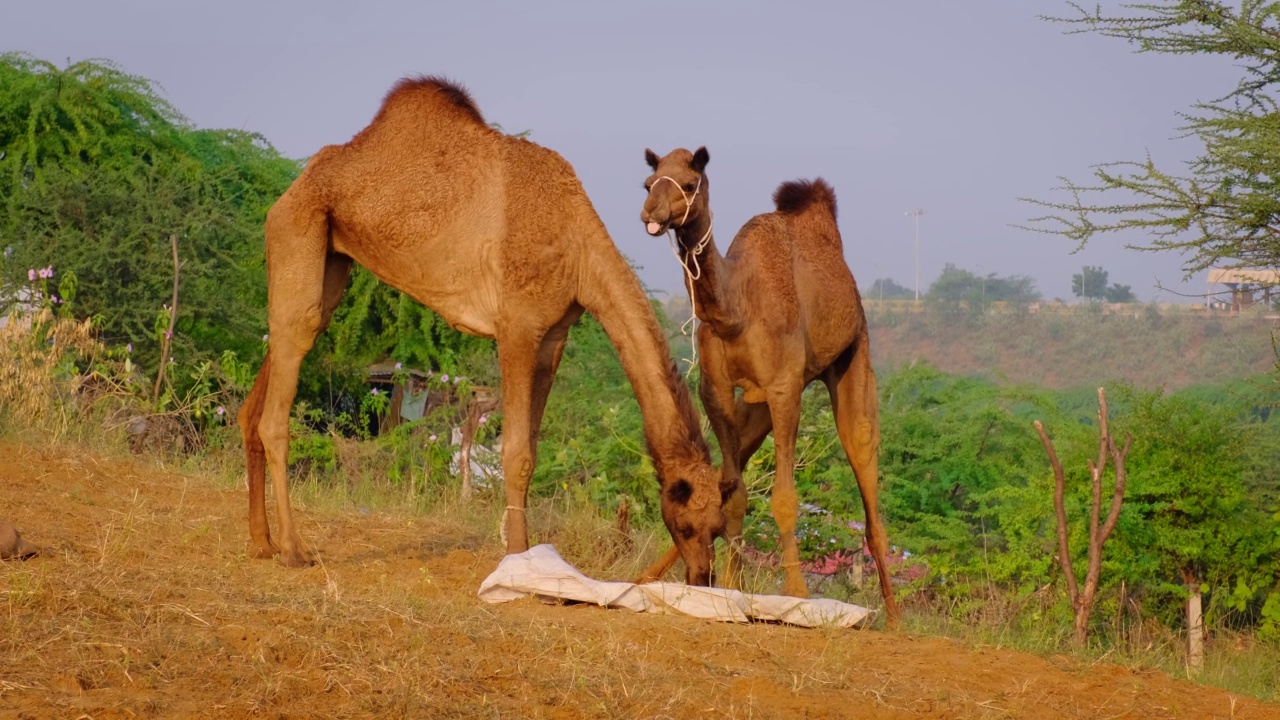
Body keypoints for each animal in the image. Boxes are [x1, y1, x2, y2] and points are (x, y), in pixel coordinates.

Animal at [235, 77, 727, 584]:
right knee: (280, 398)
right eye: (688, 524)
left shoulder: (553, 337)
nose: (702, 575)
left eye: (720, 526)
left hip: (330, 260)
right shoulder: (517, 327)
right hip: (299, 227)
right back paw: (293, 549)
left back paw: (261, 542)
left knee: (271, 375)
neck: (578, 253)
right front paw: (516, 559)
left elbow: (531, 449)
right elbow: (516, 453)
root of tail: (294, 188)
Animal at [637, 144, 901, 622]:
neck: (737, 311)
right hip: (755, 406)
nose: (652, 212)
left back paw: (894, 616)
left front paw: (797, 593)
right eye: (648, 183)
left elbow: (783, 498)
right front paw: (731, 587)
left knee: (866, 472)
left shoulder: (784, 388)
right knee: (731, 473)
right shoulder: (717, 391)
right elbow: (734, 492)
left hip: (855, 355)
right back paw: (650, 575)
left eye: (689, 183)